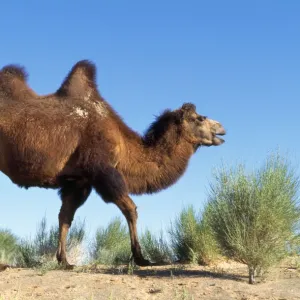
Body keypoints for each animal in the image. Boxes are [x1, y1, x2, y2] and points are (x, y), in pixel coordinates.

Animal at [0, 61, 225, 268]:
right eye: (199, 118)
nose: (221, 128)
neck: (124, 146)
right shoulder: (103, 172)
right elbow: (131, 209)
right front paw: (141, 258)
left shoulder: (79, 181)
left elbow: (65, 216)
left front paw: (64, 260)